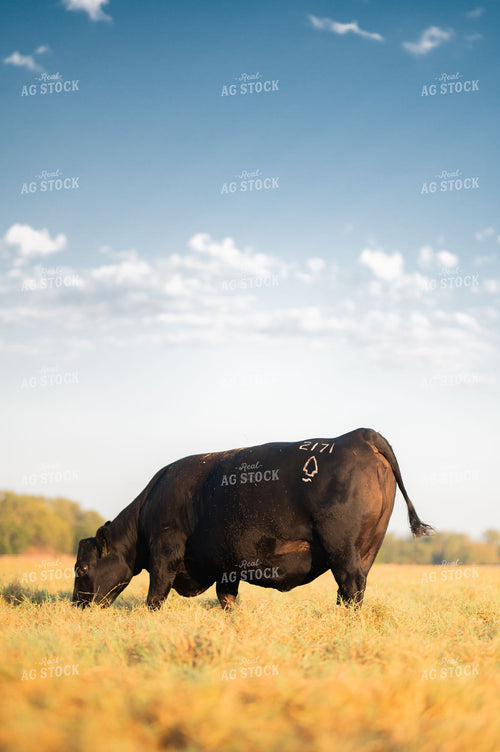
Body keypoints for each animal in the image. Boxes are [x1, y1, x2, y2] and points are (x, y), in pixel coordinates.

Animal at [72, 428, 433, 610]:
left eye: (81, 569)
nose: (76, 605)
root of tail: (357, 435)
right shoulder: (227, 565)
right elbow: (227, 599)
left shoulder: (166, 551)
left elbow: (155, 595)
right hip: (367, 547)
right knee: (353, 587)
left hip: (341, 546)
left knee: (351, 584)